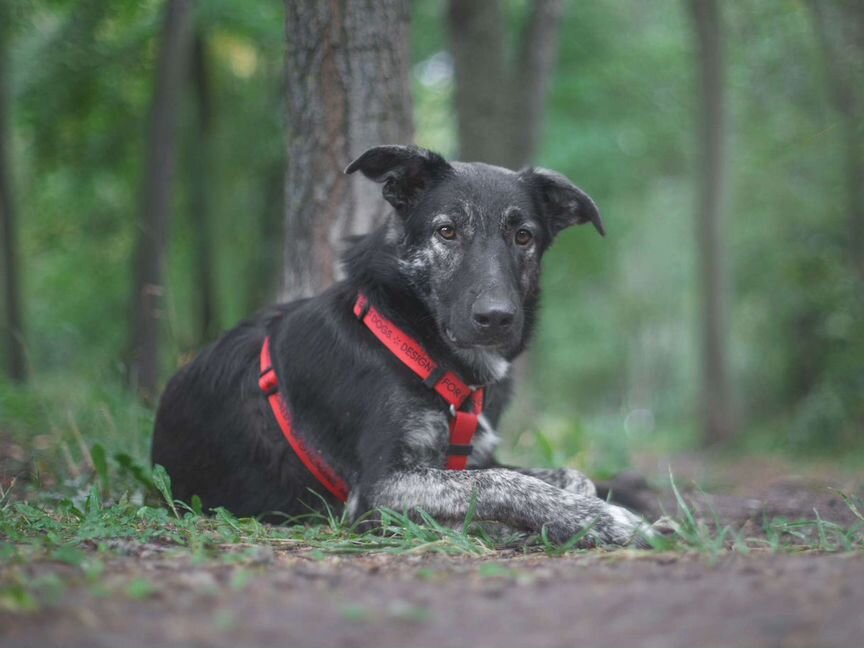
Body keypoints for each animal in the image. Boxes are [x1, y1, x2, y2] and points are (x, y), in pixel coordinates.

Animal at [154, 146, 656, 548]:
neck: (417, 338)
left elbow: (568, 475)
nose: (496, 318)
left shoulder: (468, 459)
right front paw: (607, 522)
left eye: (523, 236)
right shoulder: (379, 487)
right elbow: (499, 484)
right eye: (447, 231)